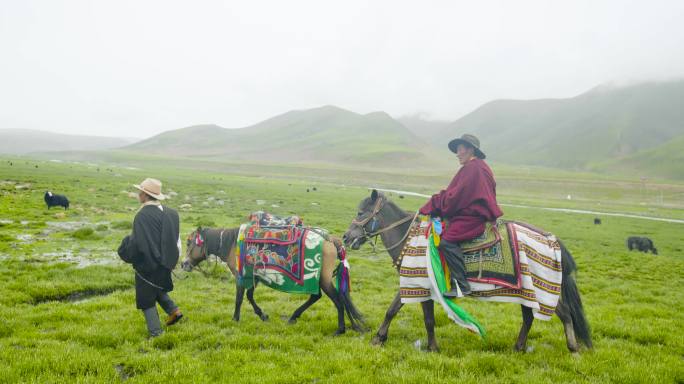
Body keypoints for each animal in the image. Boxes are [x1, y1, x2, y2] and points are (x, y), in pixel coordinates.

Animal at [179, 226, 366, 334]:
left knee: (337, 300)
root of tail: (330, 241)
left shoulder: (242, 276)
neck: (232, 243)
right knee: (317, 296)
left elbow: (239, 298)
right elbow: (249, 296)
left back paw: (340, 329)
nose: (184, 264)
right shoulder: (253, 276)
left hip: (323, 279)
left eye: (189, 243)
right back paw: (293, 317)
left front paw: (235, 319)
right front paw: (263, 315)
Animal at [344, 190, 592, 352]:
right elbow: (403, 312)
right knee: (529, 318)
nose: (347, 237)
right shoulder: (417, 286)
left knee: (565, 314)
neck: (410, 238)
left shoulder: (418, 284)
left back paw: (573, 349)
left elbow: (415, 316)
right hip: (527, 292)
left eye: (361, 212)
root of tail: (553, 240)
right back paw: (518, 347)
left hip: (542, 291)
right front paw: (382, 338)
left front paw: (426, 347)